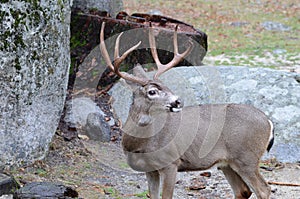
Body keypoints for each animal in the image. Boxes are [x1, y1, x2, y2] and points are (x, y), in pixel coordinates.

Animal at [99, 22, 274, 199]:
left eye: (166, 86)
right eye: (152, 91)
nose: (177, 101)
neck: (140, 144)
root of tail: (268, 122)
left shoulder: (171, 162)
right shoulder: (150, 170)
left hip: (246, 157)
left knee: (263, 189)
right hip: (228, 163)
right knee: (243, 190)